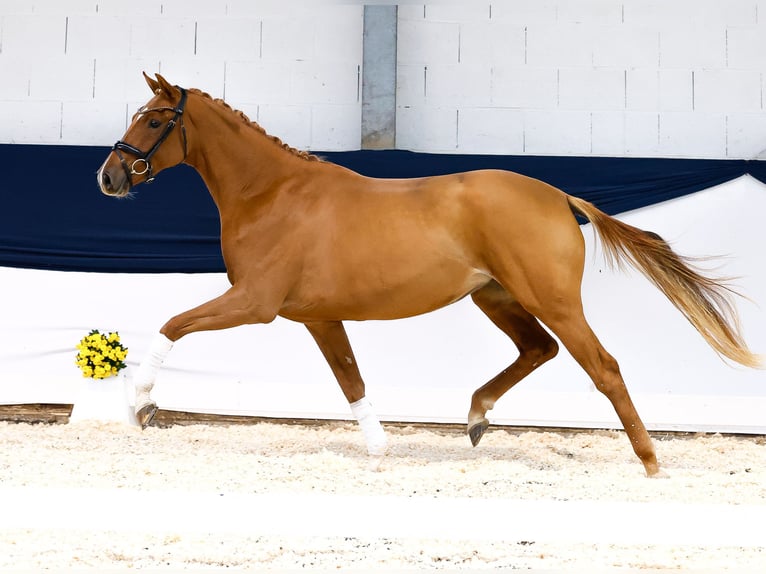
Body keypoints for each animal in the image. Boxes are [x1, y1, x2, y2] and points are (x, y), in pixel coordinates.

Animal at [97, 74, 760, 480]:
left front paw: (142, 401)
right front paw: (379, 448)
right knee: (538, 349)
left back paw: (649, 462)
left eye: (154, 121)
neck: (272, 194)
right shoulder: (318, 316)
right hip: (496, 297)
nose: (109, 178)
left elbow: (173, 324)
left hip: (549, 298)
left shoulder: (254, 302)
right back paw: (476, 418)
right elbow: (350, 380)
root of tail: (558, 197)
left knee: (603, 367)